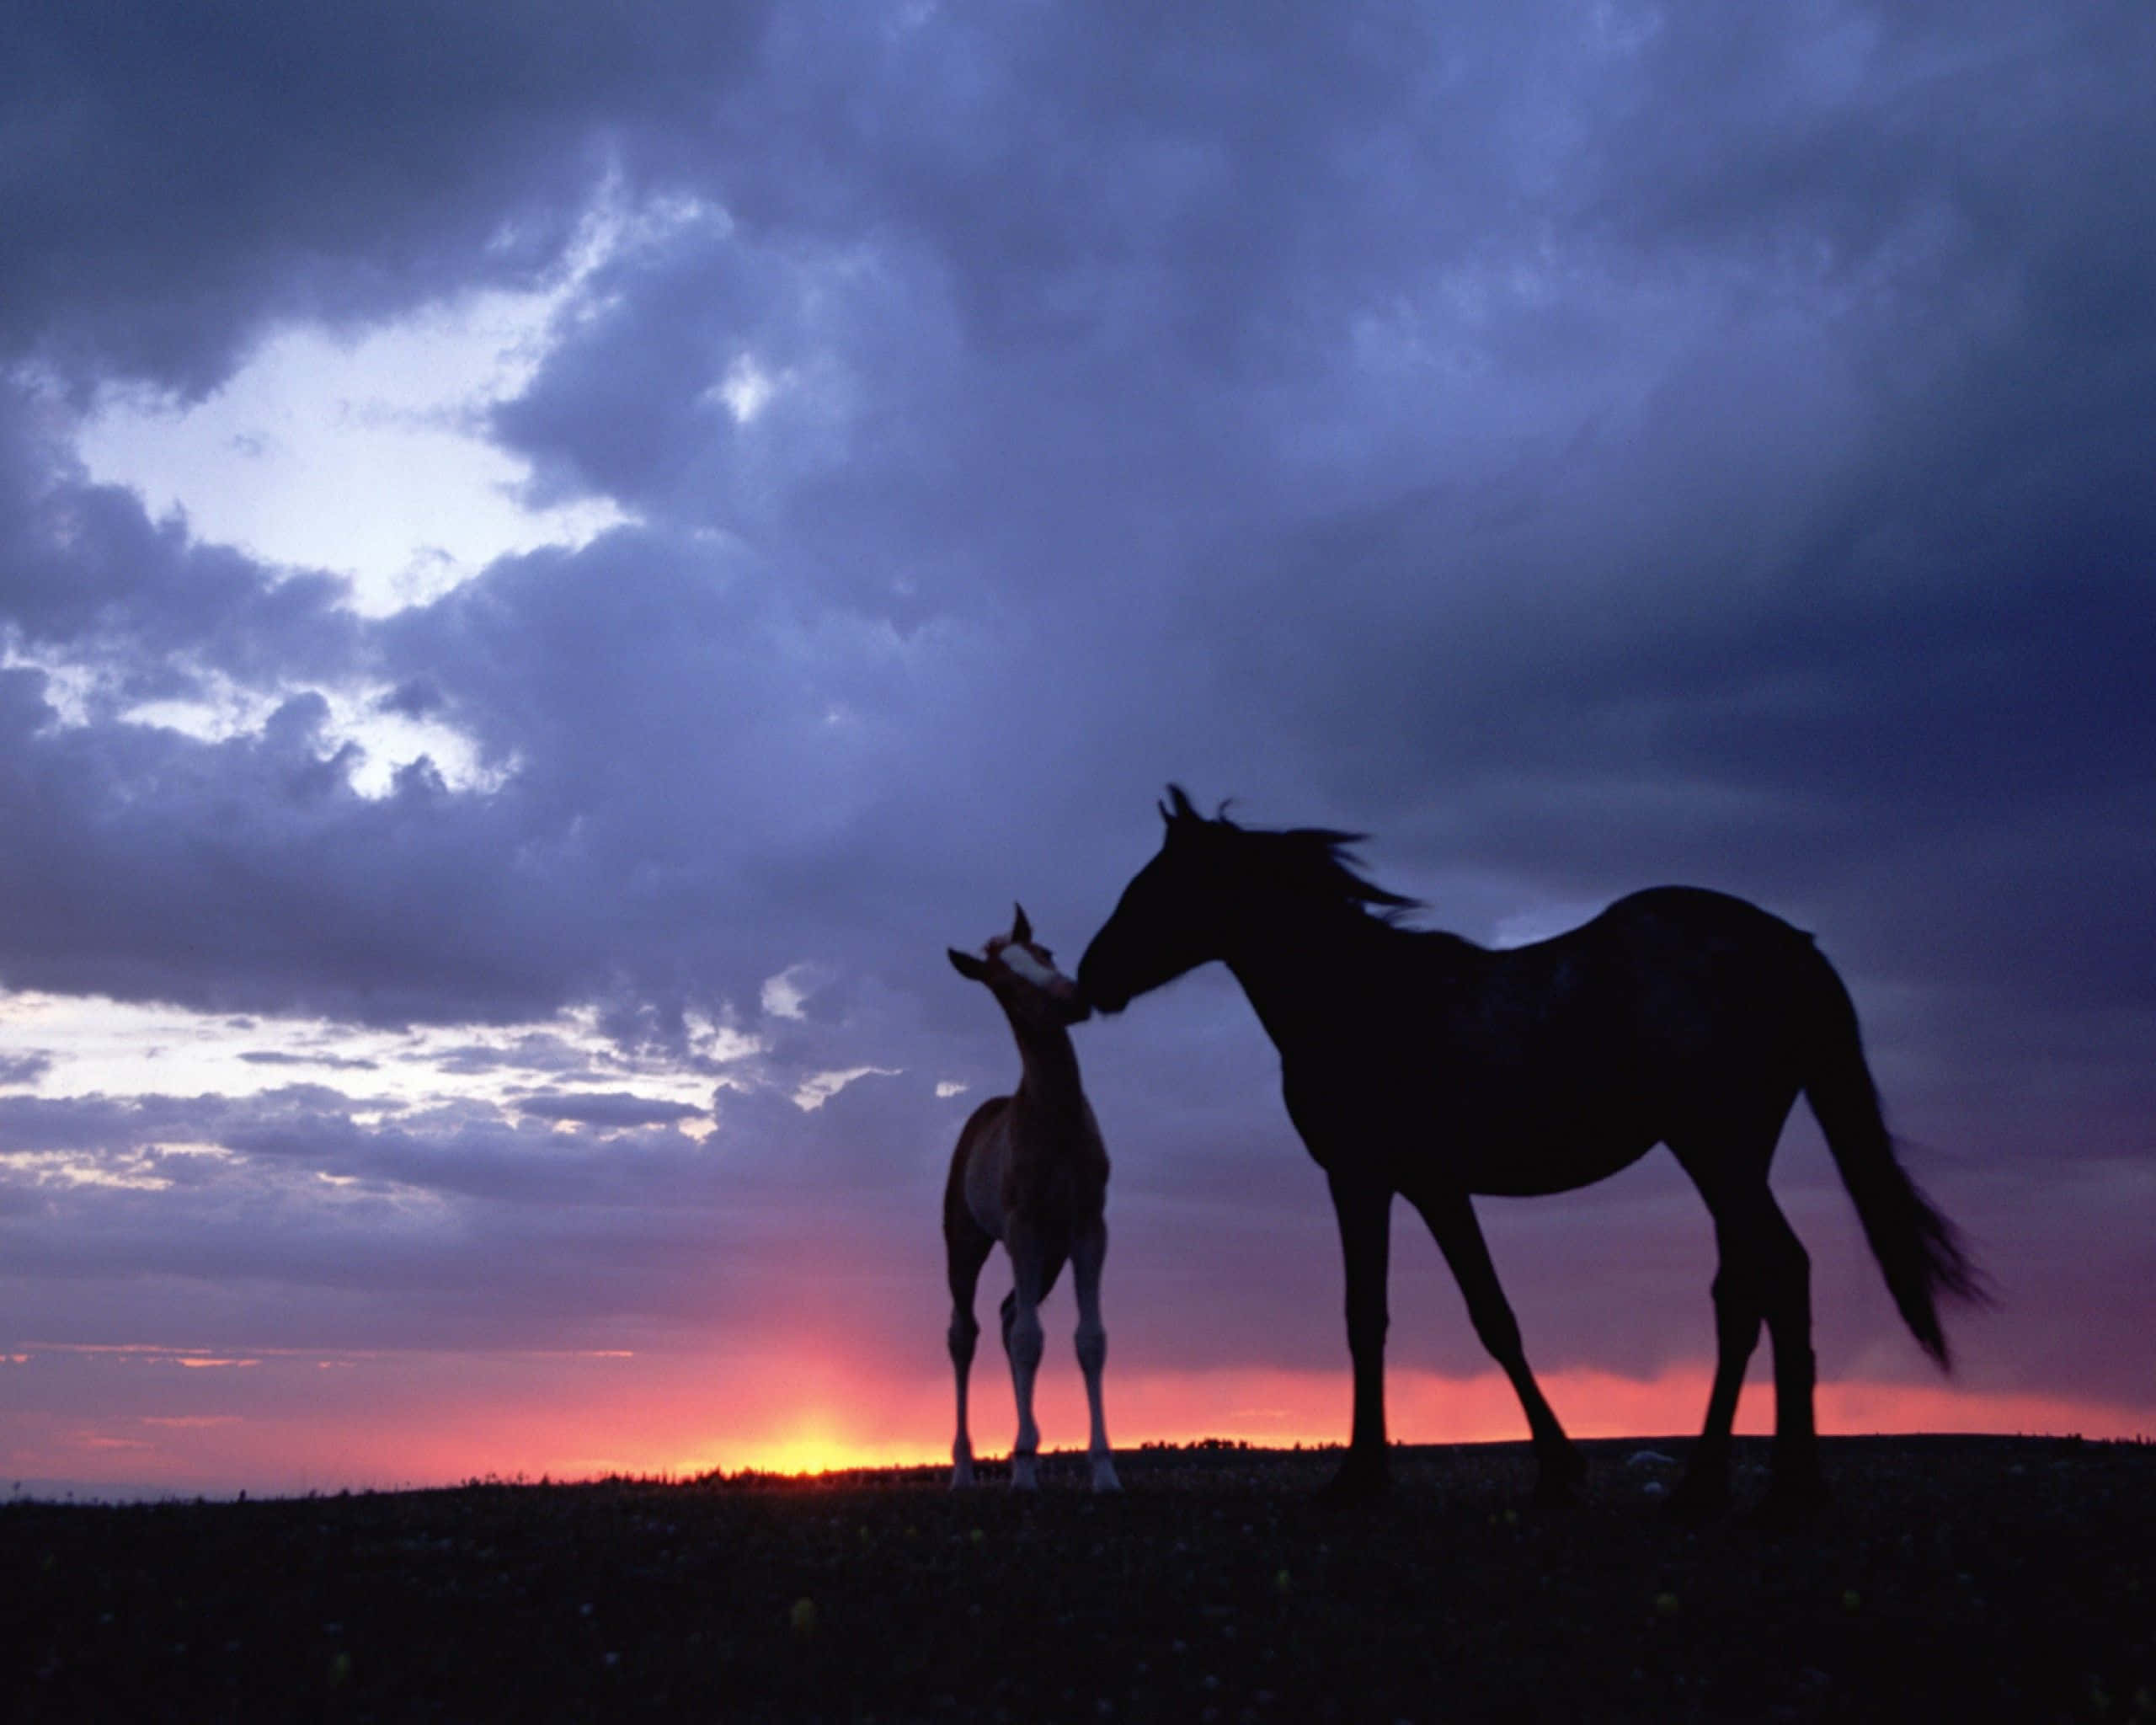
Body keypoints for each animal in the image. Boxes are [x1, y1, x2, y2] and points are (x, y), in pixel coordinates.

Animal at [943, 904, 1122, 1492]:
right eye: (1003, 982)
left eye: (1046, 953)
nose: (1073, 997)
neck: (1056, 1122)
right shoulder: (1021, 1227)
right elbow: (1028, 1339)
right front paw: (1021, 1474)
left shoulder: (1088, 1226)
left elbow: (1089, 1339)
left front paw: (1105, 1471)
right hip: (967, 1241)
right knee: (966, 1333)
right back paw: (966, 1470)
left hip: (1050, 1253)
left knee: (1005, 1315)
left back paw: (1027, 1450)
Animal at [1077, 787, 1985, 1521]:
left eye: (1158, 884)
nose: (1090, 975)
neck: (1359, 997)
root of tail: (1789, 943)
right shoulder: (1433, 1186)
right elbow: (1493, 1317)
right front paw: (1554, 1469)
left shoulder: (1362, 1179)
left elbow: (1369, 1317)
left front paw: (1361, 1478)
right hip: (1731, 1158)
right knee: (1750, 1287)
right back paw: (1732, 1486)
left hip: (1715, 1149)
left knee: (1773, 1273)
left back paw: (1760, 1489)